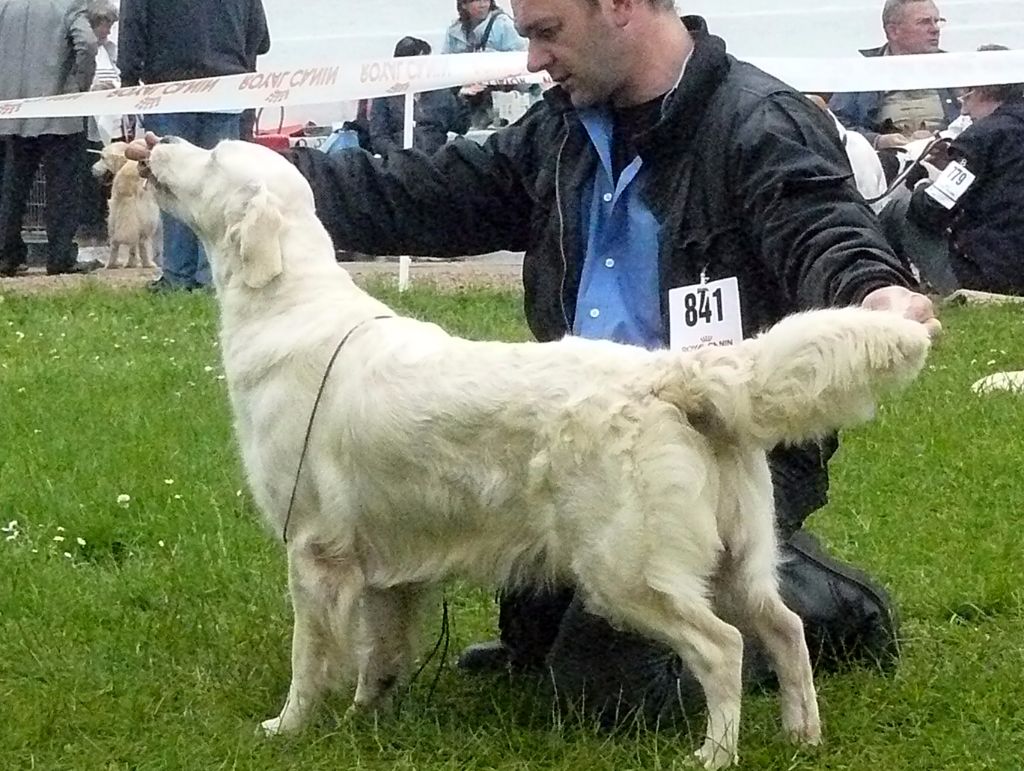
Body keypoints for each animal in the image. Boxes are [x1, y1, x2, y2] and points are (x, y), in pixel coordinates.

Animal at [92, 140, 161, 268]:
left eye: (102, 158)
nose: (92, 169)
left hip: (113, 215)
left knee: (115, 242)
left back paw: (113, 264)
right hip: (150, 216)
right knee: (143, 242)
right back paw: (147, 263)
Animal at [144, 137, 937, 765]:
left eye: (212, 157)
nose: (154, 142)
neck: (289, 303)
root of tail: (668, 376)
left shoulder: (313, 548)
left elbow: (310, 658)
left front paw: (289, 727)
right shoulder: (388, 566)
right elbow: (381, 653)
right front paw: (369, 716)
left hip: (627, 573)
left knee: (723, 649)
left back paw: (714, 752)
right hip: (738, 558)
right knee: (785, 629)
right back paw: (804, 734)